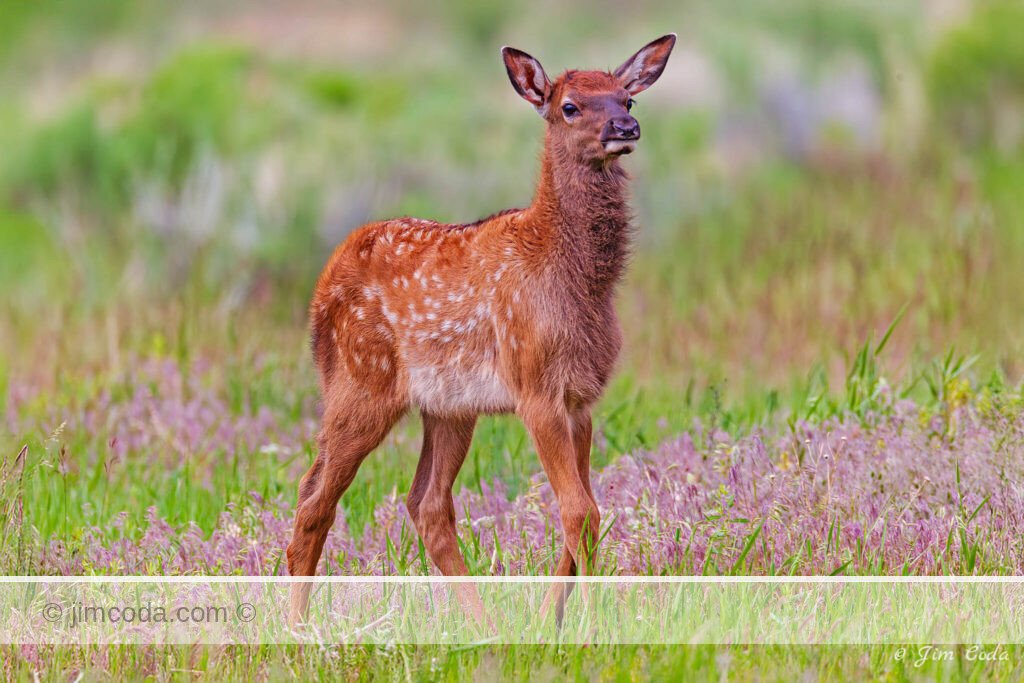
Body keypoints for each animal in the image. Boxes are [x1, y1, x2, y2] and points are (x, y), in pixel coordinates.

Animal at [286, 34, 676, 627]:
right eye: (569, 106)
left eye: (627, 98)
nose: (626, 128)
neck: (573, 281)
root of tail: (321, 292)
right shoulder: (535, 385)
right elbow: (579, 511)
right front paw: (590, 627)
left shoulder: (580, 397)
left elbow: (584, 510)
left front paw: (547, 623)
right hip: (360, 382)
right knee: (315, 499)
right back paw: (296, 627)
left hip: (449, 406)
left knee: (425, 503)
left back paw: (484, 624)